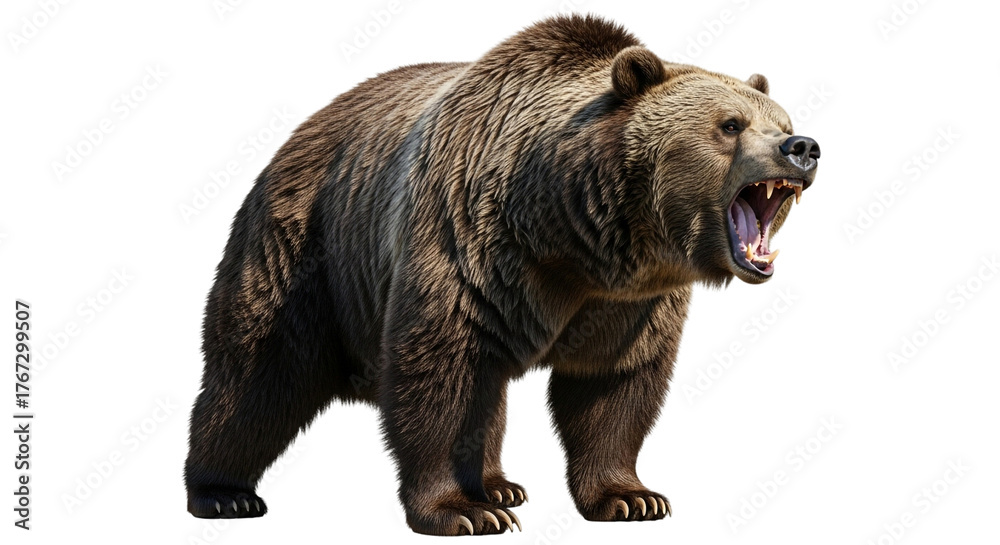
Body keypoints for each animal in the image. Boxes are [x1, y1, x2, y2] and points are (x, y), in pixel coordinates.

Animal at [184, 14, 819, 536]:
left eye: (781, 118)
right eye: (731, 124)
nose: (802, 146)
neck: (573, 234)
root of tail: (298, 133)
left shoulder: (629, 302)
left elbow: (614, 384)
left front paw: (631, 497)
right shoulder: (464, 244)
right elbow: (437, 372)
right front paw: (459, 512)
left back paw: (499, 483)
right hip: (304, 248)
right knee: (261, 372)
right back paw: (223, 493)